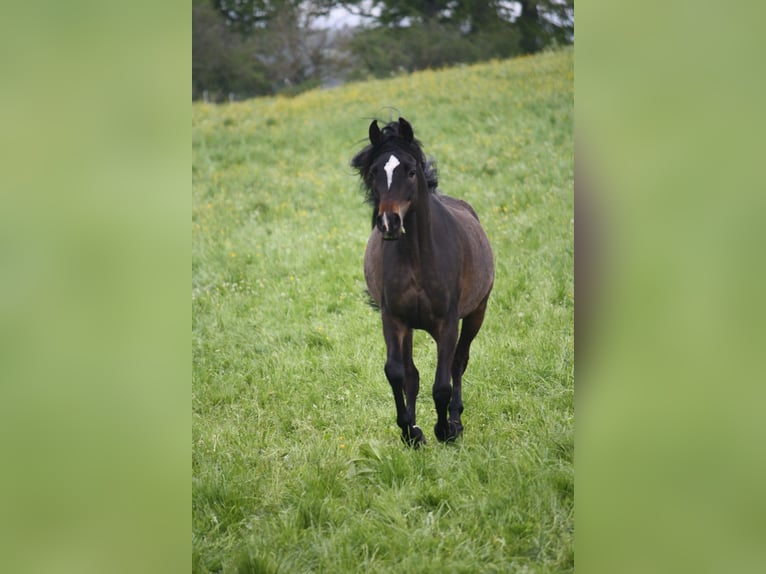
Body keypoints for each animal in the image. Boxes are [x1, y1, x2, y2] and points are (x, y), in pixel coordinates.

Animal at [351, 117, 494, 446]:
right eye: (375, 172)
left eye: (410, 171)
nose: (388, 223)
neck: (417, 259)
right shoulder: (394, 320)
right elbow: (397, 373)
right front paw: (410, 431)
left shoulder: (447, 323)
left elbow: (442, 382)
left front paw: (445, 430)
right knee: (412, 373)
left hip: (476, 313)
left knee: (459, 362)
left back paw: (455, 419)